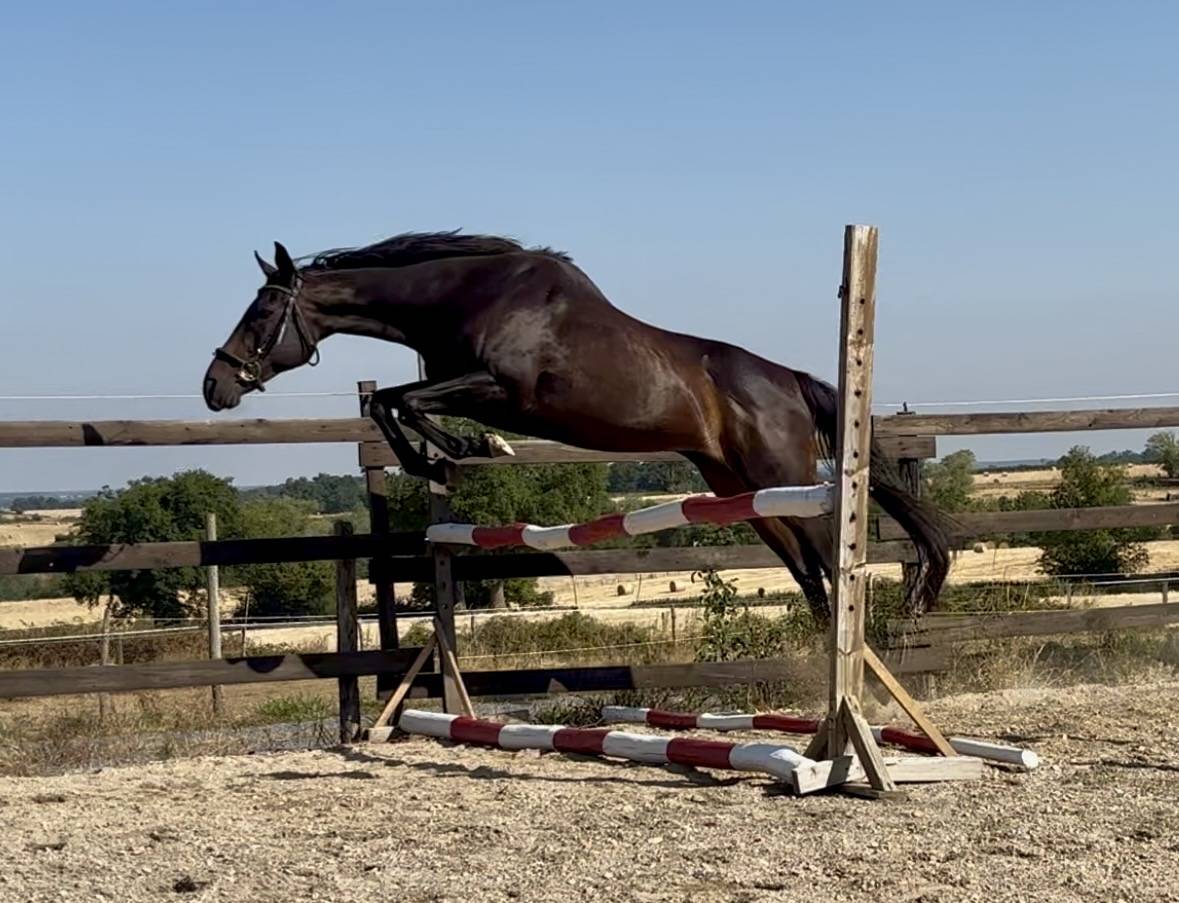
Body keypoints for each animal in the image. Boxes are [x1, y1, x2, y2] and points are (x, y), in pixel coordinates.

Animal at [203, 231, 949, 619]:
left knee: (826, 557)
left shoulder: (500, 389)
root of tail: (789, 378)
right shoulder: (472, 388)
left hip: (781, 476)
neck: (465, 295)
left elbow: (400, 401)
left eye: (262, 312)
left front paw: (463, 449)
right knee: (805, 569)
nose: (216, 386)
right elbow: (391, 400)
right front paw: (445, 457)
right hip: (738, 487)